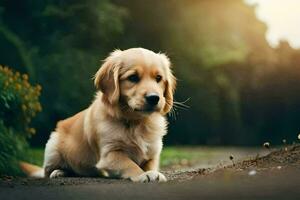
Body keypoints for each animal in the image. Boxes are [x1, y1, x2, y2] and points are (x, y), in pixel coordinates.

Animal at [21, 47, 176, 182]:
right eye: (133, 77)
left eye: (158, 78)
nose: (154, 98)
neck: (136, 122)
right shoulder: (109, 154)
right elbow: (129, 163)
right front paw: (143, 175)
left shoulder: (152, 153)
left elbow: (149, 165)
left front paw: (153, 173)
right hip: (52, 150)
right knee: (47, 172)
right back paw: (58, 172)